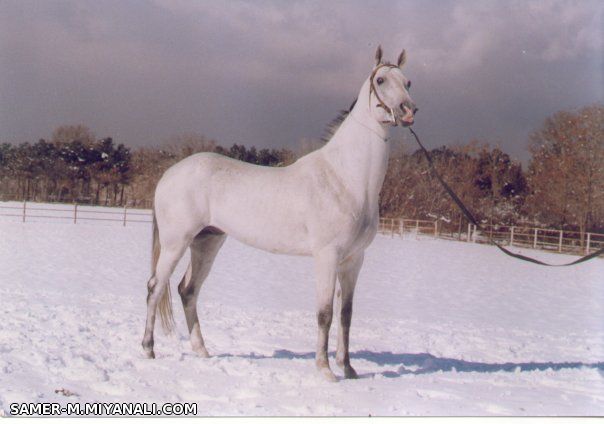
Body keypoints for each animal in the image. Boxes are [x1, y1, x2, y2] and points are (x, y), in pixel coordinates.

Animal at [143, 45, 416, 380]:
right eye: (380, 80)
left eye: (408, 82)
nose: (408, 111)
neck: (345, 177)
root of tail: (169, 174)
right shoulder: (327, 256)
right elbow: (324, 313)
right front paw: (325, 370)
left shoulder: (354, 260)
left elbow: (346, 314)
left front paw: (349, 369)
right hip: (175, 243)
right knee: (155, 288)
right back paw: (148, 349)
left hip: (207, 242)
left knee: (188, 290)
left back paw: (202, 351)